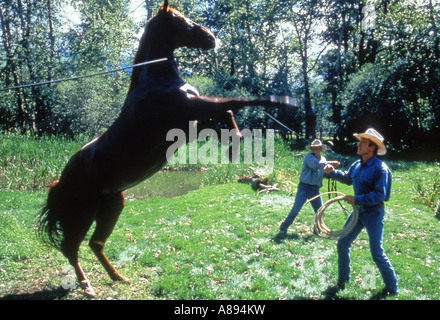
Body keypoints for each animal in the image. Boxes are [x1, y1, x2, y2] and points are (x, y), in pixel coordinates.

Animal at [37, 0, 292, 298]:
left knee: (95, 244)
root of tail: (59, 181)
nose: (211, 39)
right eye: (183, 20)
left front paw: (234, 145)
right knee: (71, 247)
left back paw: (118, 277)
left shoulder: (195, 122)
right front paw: (281, 100)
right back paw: (87, 286)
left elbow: (227, 113)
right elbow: (237, 101)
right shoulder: (191, 112)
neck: (156, 81)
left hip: (112, 206)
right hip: (83, 212)